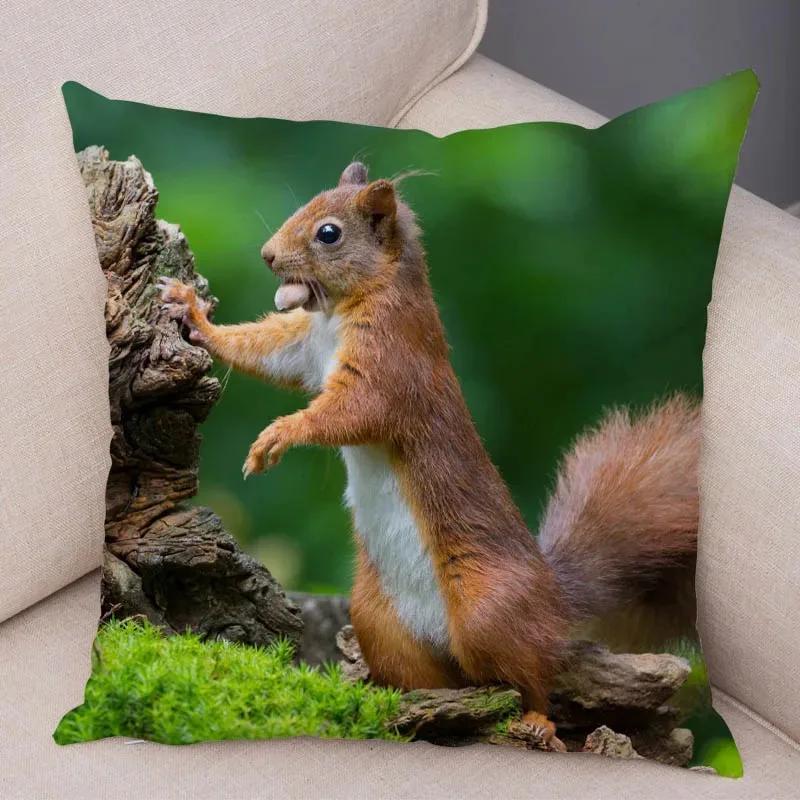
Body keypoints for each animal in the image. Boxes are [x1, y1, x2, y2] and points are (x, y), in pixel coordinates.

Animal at [159, 161, 700, 750]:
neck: (344, 311)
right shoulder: (303, 348)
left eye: (329, 233)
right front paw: (193, 314)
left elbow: (350, 412)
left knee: (534, 676)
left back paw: (535, 719)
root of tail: (553, 598)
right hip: (378, 620)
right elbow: (263, 349)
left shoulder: (390, 365)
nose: (268, 255)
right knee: (440, 678)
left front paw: (278, 435)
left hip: (488, 609)